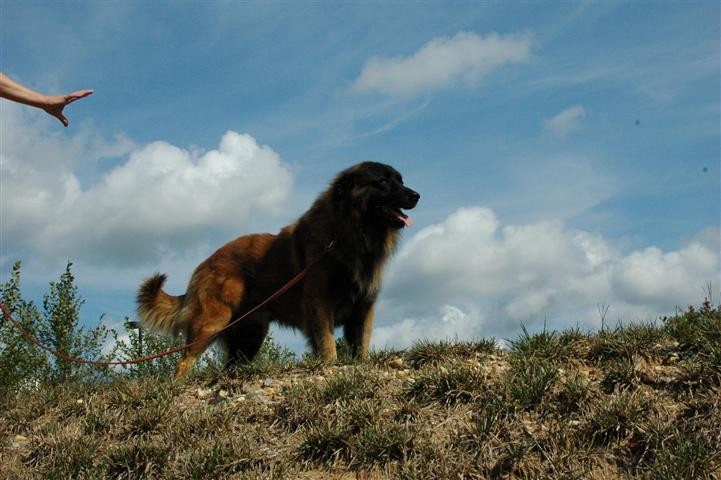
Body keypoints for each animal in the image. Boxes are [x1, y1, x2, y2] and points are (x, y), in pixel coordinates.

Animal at [136, 161, 416, 378]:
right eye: (382, 181)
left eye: (400, 180)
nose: (416, 196)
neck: (348, 233)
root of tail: (205, 263)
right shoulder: (319, 305)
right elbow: (327, 344)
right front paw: (331, 365)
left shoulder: (363, 308)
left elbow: (361, 343)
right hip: (211, 322)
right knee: (184, 362)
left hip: (249, 336)